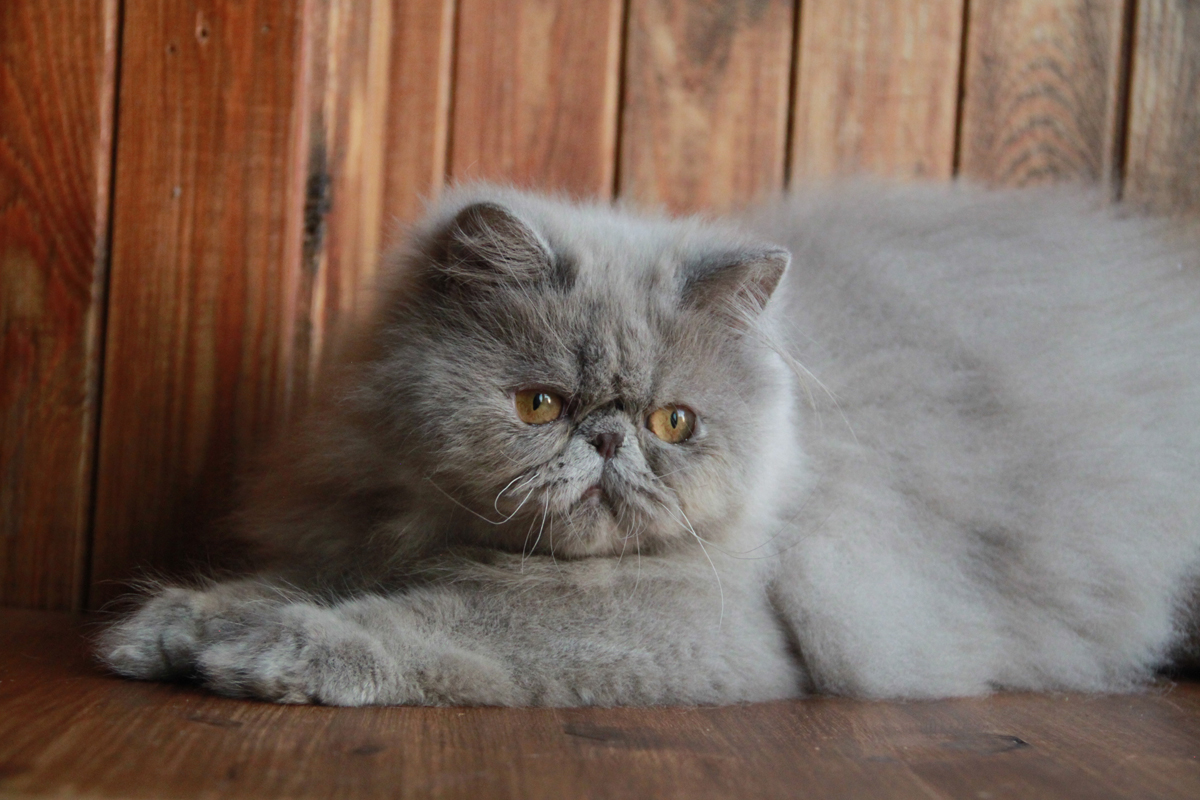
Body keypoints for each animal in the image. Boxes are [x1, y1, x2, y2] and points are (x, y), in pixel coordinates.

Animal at [96, 183, 1200, 705]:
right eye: (539, 404)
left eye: (676, 422)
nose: (609, 437)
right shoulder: (358, 535)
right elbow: (288, 580)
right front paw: (172, 627)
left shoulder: (706, 623)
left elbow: (447, 624)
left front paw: (267, 651)